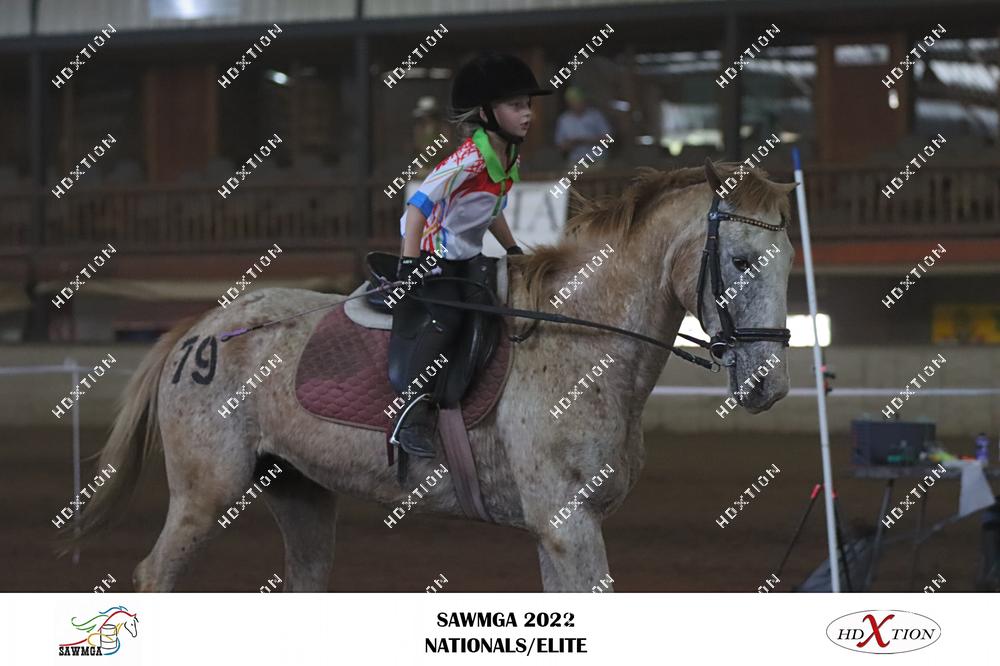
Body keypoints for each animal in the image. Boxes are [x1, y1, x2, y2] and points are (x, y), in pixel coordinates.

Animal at [67, 159, 797, 592]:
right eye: (737, 260)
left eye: (788, 262)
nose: (771, 385)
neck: (584, 338)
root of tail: (205, 326)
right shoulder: (567, 524)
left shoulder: (561, 529)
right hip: (206, 492)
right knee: (153, 575)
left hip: (300, 492)